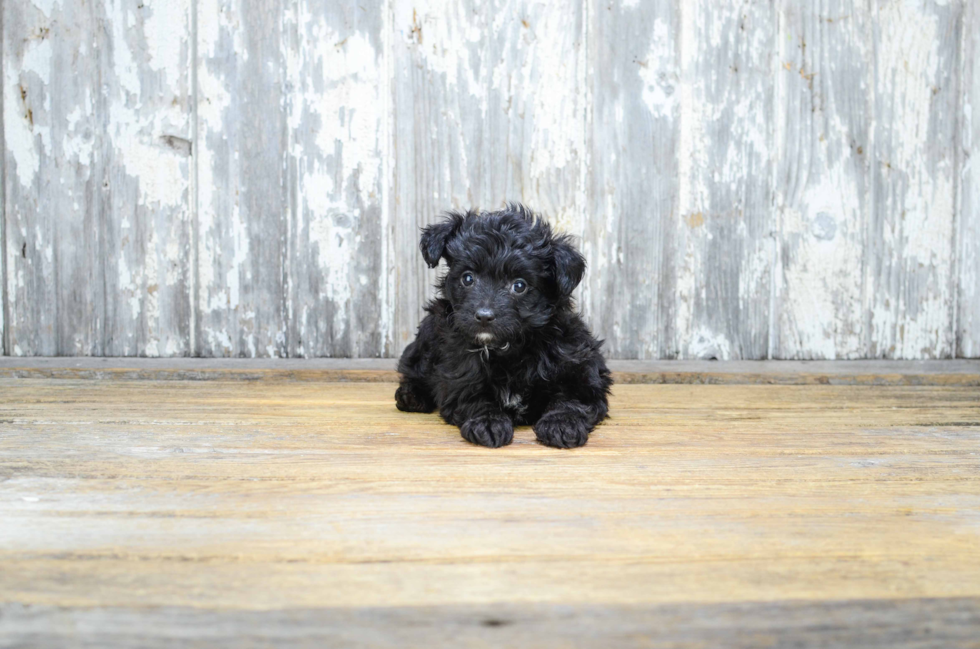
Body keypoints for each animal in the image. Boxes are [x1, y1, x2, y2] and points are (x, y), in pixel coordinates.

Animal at [392, 205, 608, 448]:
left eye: (519, 286)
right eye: (468, 278)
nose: (484, 316)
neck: (507, 348)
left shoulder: (579, 367)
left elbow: (572, 398)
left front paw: (562, 424)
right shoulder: (458, 373)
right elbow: (474, 397)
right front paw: (488, 422)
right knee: (413, 369)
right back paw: (411, 396)